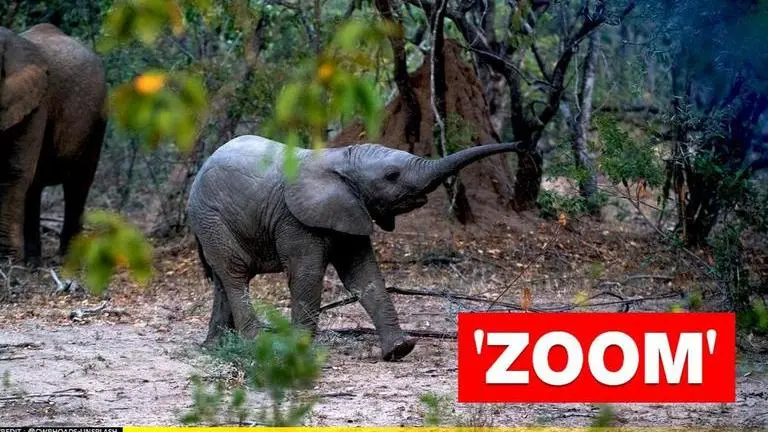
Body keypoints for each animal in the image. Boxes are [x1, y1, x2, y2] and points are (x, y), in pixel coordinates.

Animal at [0, 24, 107, 264]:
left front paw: (7, 260)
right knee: (36, 187)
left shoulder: (36, 103)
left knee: (78, 184)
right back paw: (33, 262)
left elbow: (14, 171)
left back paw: (65, 259)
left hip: (99, 116)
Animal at [188, 135, 521, 361]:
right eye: (392, 175)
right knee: (235, 273)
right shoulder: (294, 220)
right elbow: (307, 276)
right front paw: (298, 352)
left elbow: (363, 276)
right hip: (211, 217)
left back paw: (214, 347)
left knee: (222, 278)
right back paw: (256, 344)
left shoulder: (350, 211)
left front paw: (400, 350)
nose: (521, 145)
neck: (341, 159)